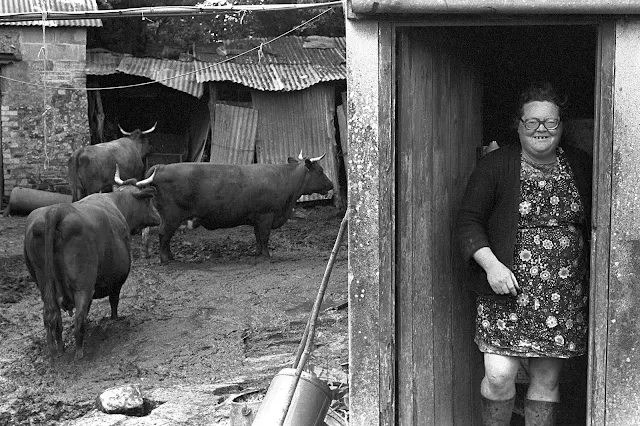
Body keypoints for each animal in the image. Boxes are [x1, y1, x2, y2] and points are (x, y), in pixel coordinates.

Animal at [24, 166, 160, 360]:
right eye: (149, 201)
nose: (158, 217)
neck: (117, 203)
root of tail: (57, 210)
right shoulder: (117, 279)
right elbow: (113, 300)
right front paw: (114, 319)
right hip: (83, 284)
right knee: (78, 317)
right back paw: (79, 353)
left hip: (45, 285)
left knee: (51, 316)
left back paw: (57, 349)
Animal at [146, 150, 336, 262]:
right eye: (320, 171)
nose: (331, 184)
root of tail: (160, 167)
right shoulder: (267, 215)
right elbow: (264, 237)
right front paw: (267, 255)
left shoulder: (258, 218)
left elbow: (258, 236)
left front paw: (258, 253)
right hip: (171, 216)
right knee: (163, 235)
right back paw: (166, 259)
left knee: (166, 237)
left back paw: (170, 256)